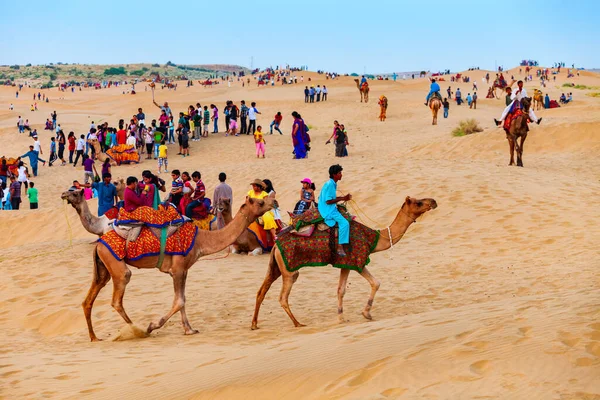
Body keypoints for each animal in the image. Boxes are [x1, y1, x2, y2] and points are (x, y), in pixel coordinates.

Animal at [82, 196, 274, 340]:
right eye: (260, 202)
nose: (274, 201)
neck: (201, 240)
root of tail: (98, 244)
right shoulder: (178, 269)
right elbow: (179, 300)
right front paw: (152, 326)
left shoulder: (184, 270)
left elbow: (182, 299)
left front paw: (189, 329)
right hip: (117, 265)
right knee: (117, 297)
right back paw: (138, 330)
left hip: (103, 267)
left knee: (89, 299)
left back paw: (94, 337)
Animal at [251, 195, 438, 330]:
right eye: (419, 202)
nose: (433, 201)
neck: (374, 238)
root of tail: (275, 245)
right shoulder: (356, 260)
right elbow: (375, 283)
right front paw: (366, 313)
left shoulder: (345, 264)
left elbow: (341, 290)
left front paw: (341, 317)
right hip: (289, 270)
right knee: (283, 297)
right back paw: (298, 323)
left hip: (275, 266)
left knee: (261, 291)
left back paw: (254, 324)